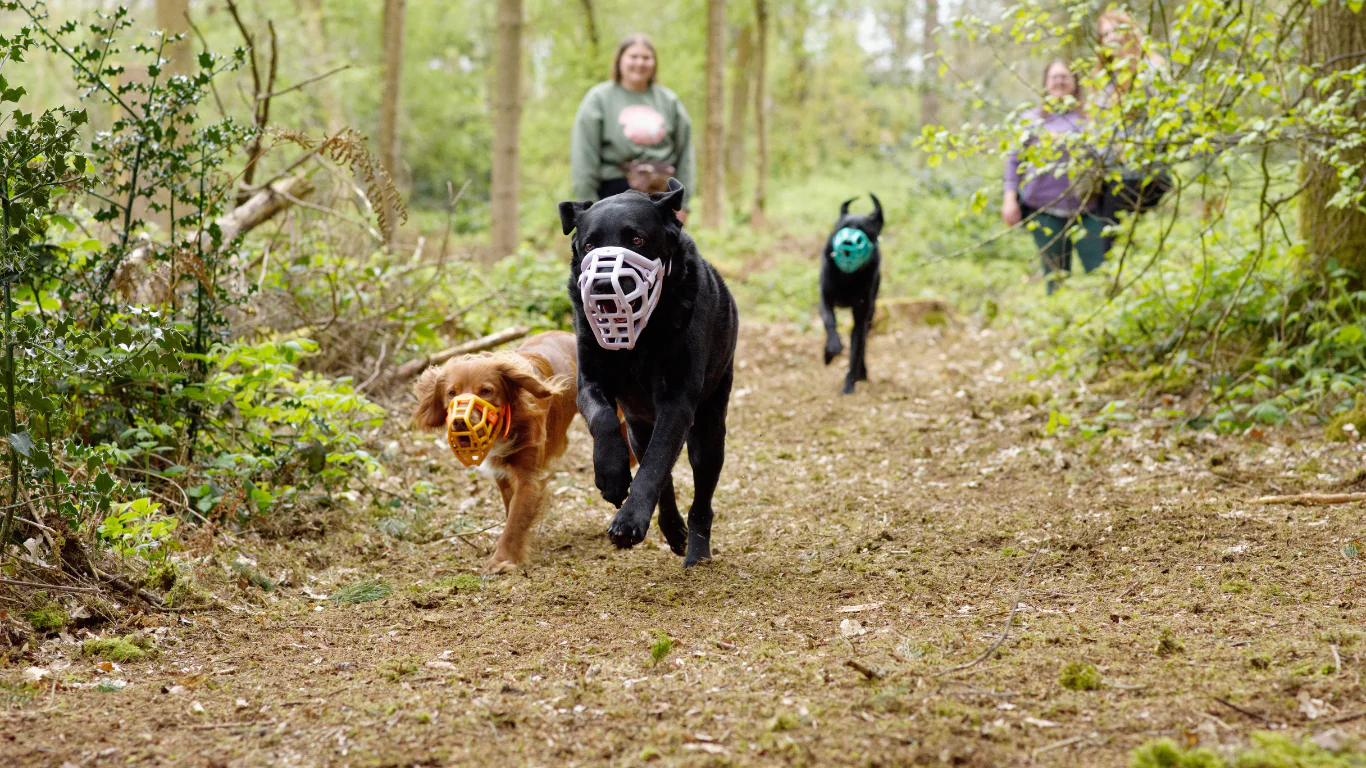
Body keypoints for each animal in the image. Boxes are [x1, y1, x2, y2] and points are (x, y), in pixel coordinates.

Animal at [560, 177, 743, 563]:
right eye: (589, 244)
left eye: (638, 240)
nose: (603, 285)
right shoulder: (590, 381)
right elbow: (604, 420)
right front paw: (612, 476)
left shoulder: (677, 402)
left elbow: (656, 464)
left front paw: (628, 522)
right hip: (639, 428)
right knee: (663, 477)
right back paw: (672, 529)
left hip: (709, 431)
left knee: (699, 498)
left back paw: (696, 551)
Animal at [819, 191, 885, 393]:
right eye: (843, 228)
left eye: (864, 230)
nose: (847, 243)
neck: (848, 278)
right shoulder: (825, 300)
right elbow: (830, 324)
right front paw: (831, 350)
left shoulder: (862, 315)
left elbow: (856, 349)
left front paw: (849, 385)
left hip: (871, 311)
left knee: (863, 344)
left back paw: (862, 373)